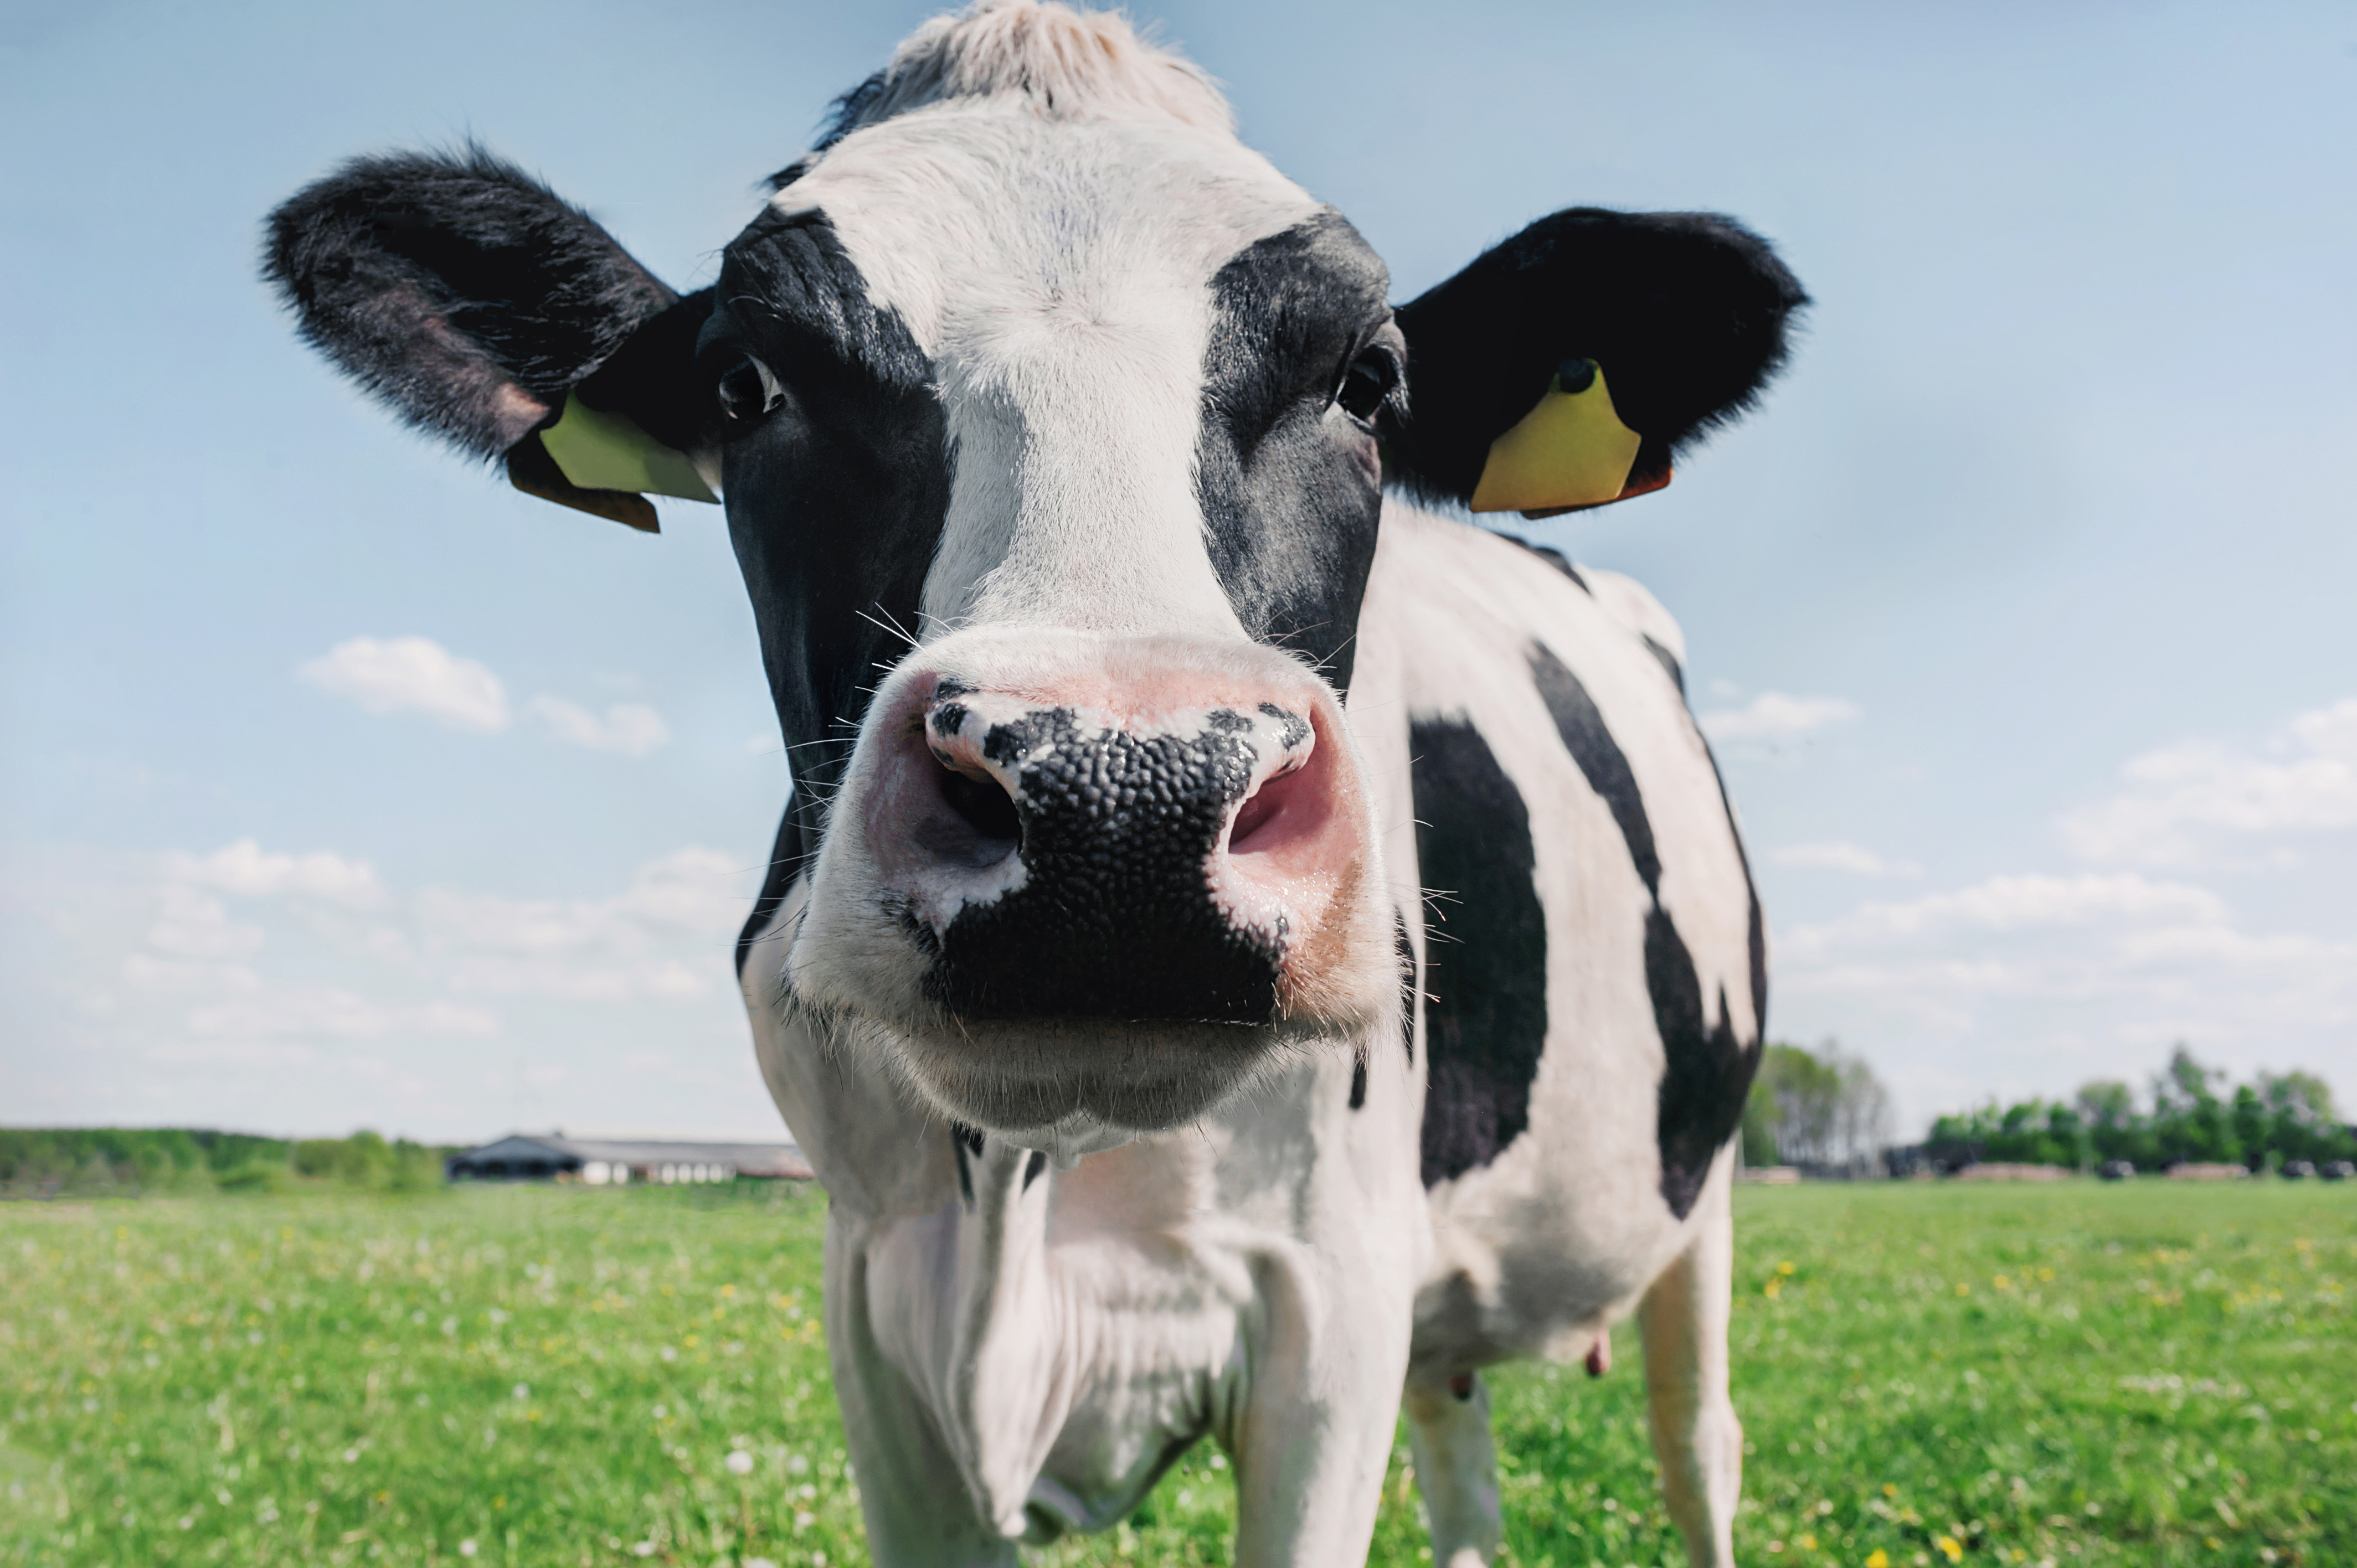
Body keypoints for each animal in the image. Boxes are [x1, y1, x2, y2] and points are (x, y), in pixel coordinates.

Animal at [263, 6, 1800, 1556]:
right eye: (746, 383)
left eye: (1368, 378)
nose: (1124, 802)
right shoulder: (879, 1309)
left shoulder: (1333, 1299)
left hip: (1700, 1199)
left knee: (1700, 1444)